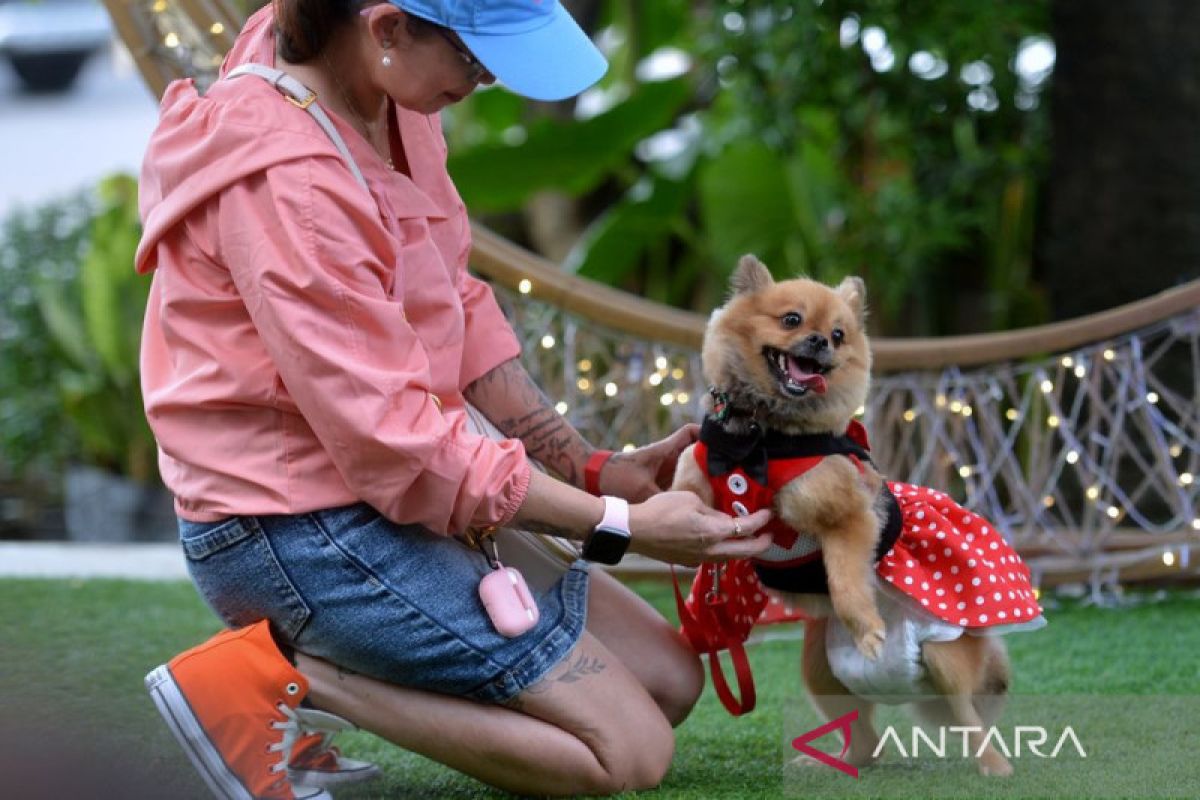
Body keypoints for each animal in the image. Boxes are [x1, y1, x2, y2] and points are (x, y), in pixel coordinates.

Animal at [672, 256, 1046, 777]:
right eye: (792, 319)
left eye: (839, 334)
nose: (820, 342)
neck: (761, 437)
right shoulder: (696, 478)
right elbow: (684, 493)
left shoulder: (847, 520)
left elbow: (848, 582)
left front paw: (867, 627)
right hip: (819, 666)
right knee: (867, 739)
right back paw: (834, 762)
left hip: (944, 656)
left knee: (971, 718)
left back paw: (994, 766)